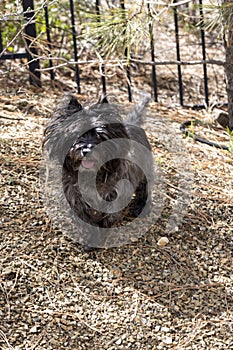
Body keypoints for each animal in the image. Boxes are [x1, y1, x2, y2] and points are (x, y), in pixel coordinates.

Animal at [43, 93, 153, 245]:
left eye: (100, 136)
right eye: (77, 134)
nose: (86, 150)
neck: (93, 174)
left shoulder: (115, 195)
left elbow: (108, 218)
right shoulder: (76, 199)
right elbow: (85, 220)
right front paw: (89, 238)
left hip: (145, 172)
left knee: (145, 189)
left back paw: (140, 208)